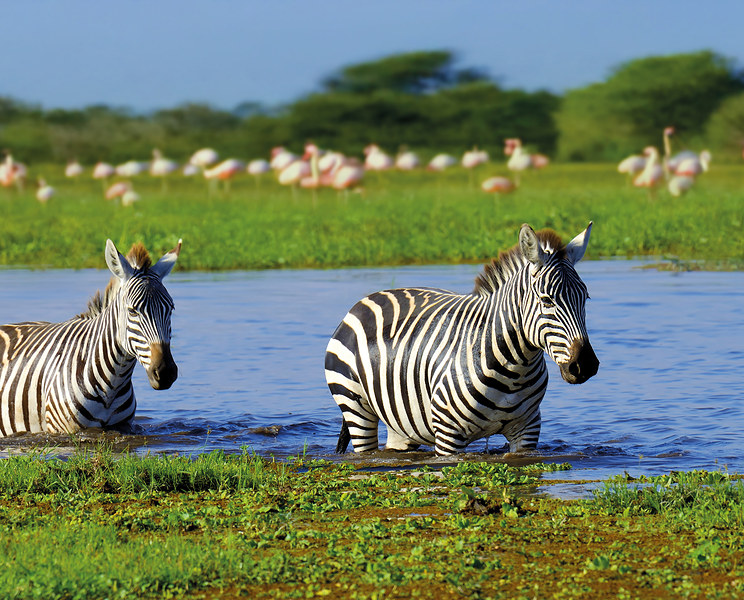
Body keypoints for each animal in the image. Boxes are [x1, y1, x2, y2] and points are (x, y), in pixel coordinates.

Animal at [0, 239, 182, 436]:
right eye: (132, 311)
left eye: (171, 309)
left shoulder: (124, 426)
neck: (114, 382)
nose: (165, 372)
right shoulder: (62, 430)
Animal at [325, 223, 599, 455]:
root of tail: (369, 298)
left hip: (400, 422)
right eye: (546, 300)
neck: (516, 368)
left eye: (585, 298)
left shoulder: (528, 430)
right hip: (355, 406)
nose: (585, 365)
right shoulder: (448, 435)